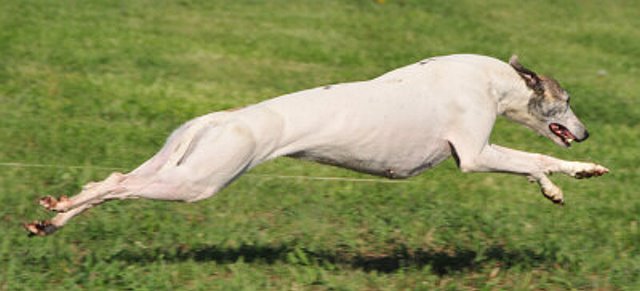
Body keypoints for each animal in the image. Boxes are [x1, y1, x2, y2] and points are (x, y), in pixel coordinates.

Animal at [25, 54, 608, 237]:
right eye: (566, 100)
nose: (584, 132)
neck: (492, 80)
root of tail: (219, 117)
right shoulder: (474, 154)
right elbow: (537, 156)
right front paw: (583, 169)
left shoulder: (481, 153)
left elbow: (531, 166)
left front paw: (552, 190)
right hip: (195, 181)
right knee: (118, 187)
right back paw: (60, 211)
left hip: (180, 166)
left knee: (110, 180)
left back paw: (53, 217)